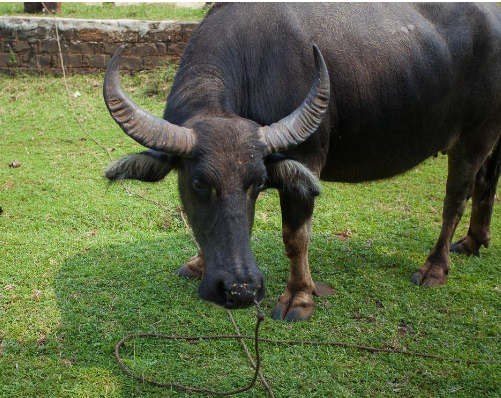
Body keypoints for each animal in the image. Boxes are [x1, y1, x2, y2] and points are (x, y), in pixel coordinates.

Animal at [102, 2, 500, 320]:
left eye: (259, 183)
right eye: (198, 182)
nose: (240, 291)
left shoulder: (303, 162)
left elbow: (295, 237)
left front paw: (299, 298)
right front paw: (200, 263)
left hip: (475, 136)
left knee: (456, 199)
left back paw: (435, 267)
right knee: (486, 182)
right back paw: (473, 242)